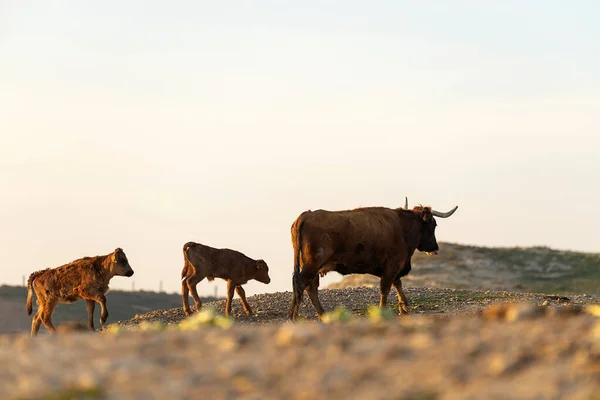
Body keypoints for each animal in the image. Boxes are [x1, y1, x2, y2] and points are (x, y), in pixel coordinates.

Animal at [288, 198, 458, 320]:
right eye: (433, 224)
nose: (434, 247)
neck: (402, 227)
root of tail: (306, 215)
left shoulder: (393, 267)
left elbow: (397, 284)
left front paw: (404, 307)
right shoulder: (392, 265)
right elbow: (386, 288)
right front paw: (384, 310)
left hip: (312, 267)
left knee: (310, 288)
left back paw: (322, 315)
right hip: (312, 265)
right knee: (302, 285)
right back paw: (293, 317)